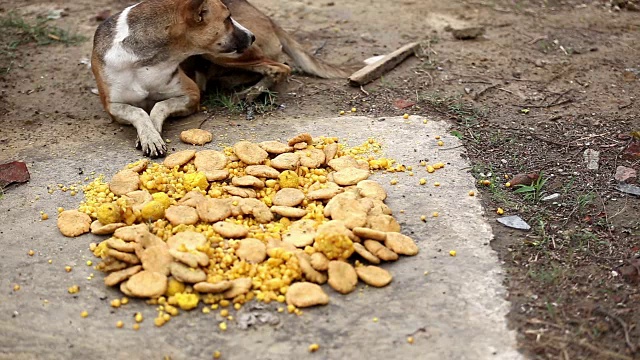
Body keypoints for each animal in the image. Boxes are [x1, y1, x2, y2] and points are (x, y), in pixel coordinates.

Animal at [91, 0, 344, 158]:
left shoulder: (191, 94)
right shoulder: (112, 106)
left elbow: (158, 106)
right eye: (227, 18)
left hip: (222, 54)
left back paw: (251, 92)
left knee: (280, 68)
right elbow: (138, 112)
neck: (146, 59)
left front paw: (154, 133)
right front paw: (150, 135)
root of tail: (266, 16)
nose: (251, 35)